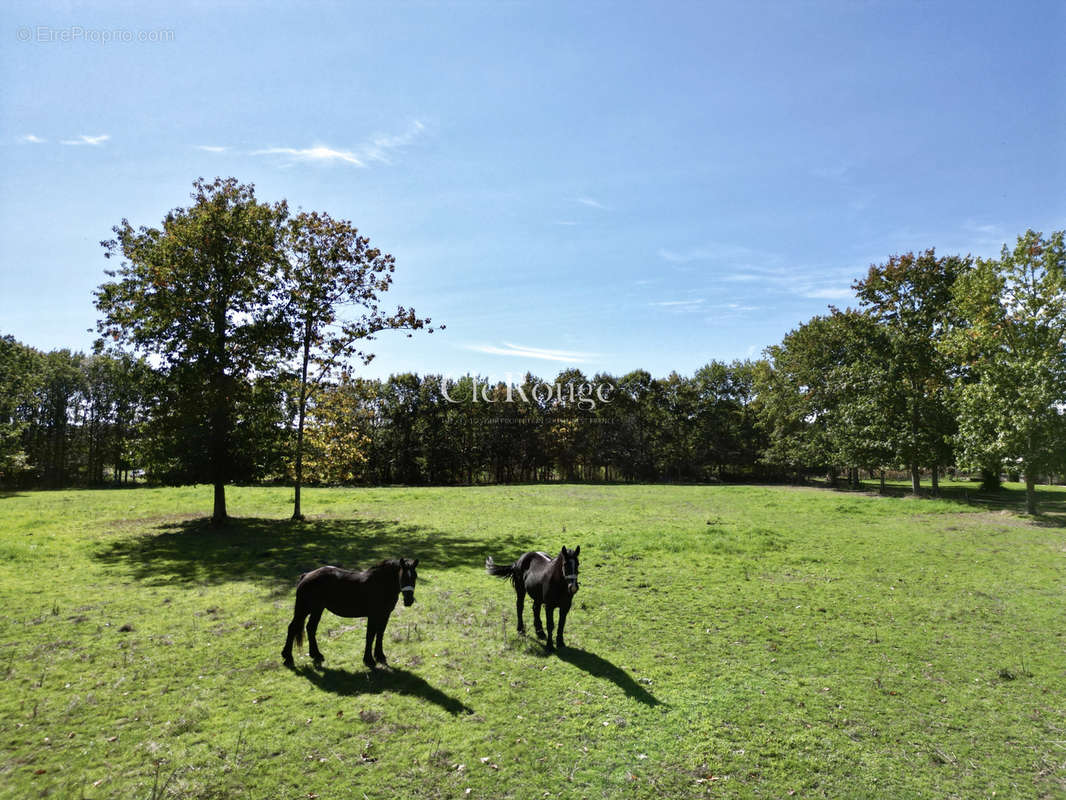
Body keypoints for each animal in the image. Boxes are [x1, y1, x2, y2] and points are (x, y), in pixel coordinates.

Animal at [281, 558, 417, 669]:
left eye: (414, 577)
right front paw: (369, 660)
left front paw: (380, 656)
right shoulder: (373, 615)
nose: (409, 600)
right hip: (304, 609)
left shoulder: (384, 615)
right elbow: (370, 636)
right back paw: (288, 657)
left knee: (310, 628)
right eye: (403, 577)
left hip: (317, 609)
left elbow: (380, 634)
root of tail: (306, 575)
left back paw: (316, 655)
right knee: (293, 627)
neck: (380, 584)